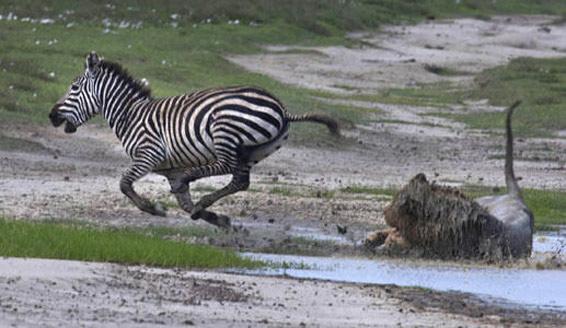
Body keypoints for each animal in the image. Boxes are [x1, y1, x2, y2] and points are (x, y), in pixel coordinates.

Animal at [48, 52, 340, 228]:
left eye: (74, 88)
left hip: (224, 130)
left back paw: (194, 180)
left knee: (225, 168)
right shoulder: (170, 169)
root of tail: (280, 106)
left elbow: (124, 184)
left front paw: (153, 209)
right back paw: (203, 203)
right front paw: (215, 219)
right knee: (239, 180)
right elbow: (183, 202)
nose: (51, 116)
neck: (130, 115)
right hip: (256, 150)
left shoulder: (149, 154)